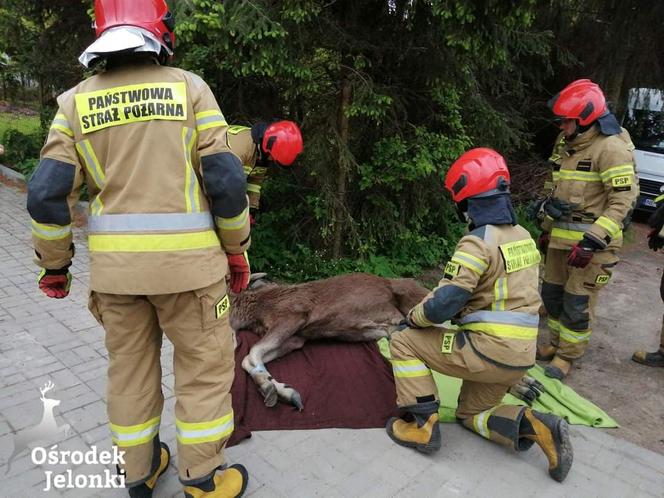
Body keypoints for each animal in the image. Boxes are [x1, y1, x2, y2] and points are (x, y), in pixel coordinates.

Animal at [231, 272, 428, 408]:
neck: (255, 312)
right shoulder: (296, 338)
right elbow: (248, 359)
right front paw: (282, 391)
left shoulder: (293, 316)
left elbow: (252, 352)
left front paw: (271, 389)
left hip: (410, 294)